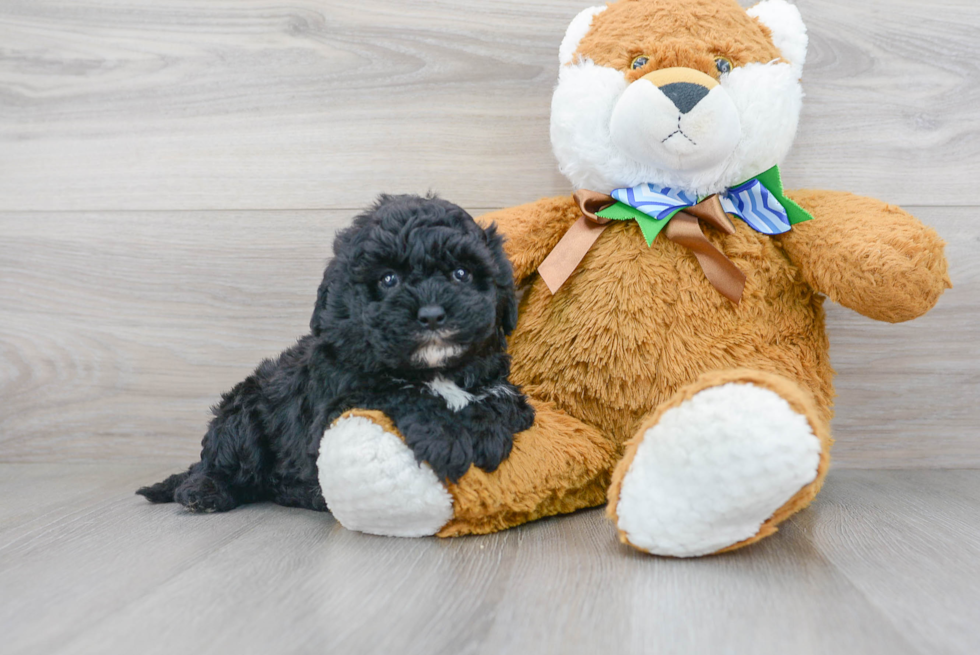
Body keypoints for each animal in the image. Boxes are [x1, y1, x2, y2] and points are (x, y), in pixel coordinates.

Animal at [137, 197, 532, 516]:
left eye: (461, 273)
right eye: (388, 279)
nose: (432, 315)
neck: (433, 369)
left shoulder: (497, 383)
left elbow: (502, 400)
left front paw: (486, 432)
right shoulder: (336, 406)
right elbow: (398, 392)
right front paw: (446, 439)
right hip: (241, 416)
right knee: (222, 464)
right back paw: (204, 491)